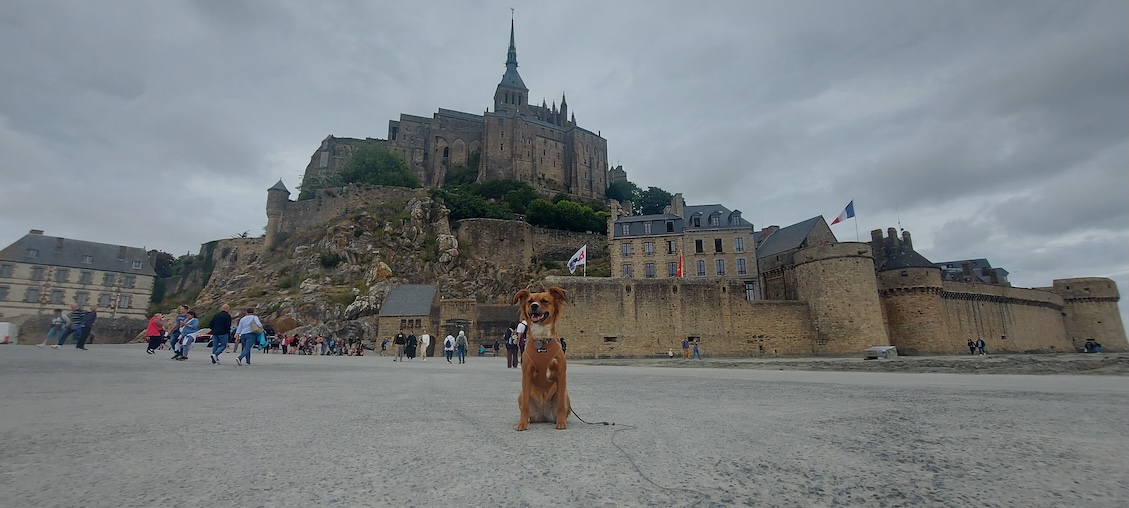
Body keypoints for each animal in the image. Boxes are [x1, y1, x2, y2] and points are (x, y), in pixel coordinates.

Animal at [514, 287, 573, 431]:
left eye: (545, 301)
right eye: (530, 301)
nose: (534, 306)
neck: (541, 341)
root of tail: (543, 415)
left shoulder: (561, 375)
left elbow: (561, 404)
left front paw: (561, 422)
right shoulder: (526, 375)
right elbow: (525, 406)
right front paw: (522, 423)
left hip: (566, 396)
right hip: (521, 394)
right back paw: (528, 419)